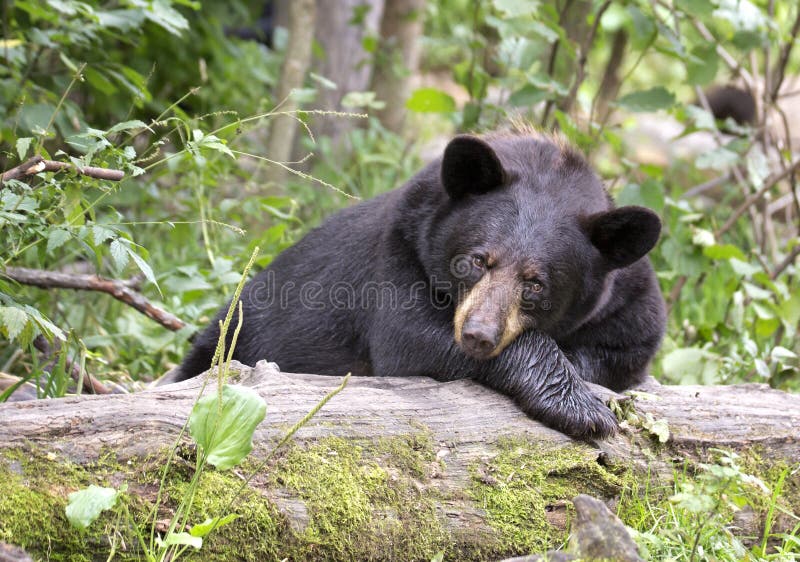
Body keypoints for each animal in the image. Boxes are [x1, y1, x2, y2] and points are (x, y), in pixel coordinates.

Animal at [172, 130, 664, 438]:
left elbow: (632, 345)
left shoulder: (627, 291)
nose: (478, 336)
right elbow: (408, 336)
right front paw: (581, 408)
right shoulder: (403, 246)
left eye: (536, 284)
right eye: (476, 261)